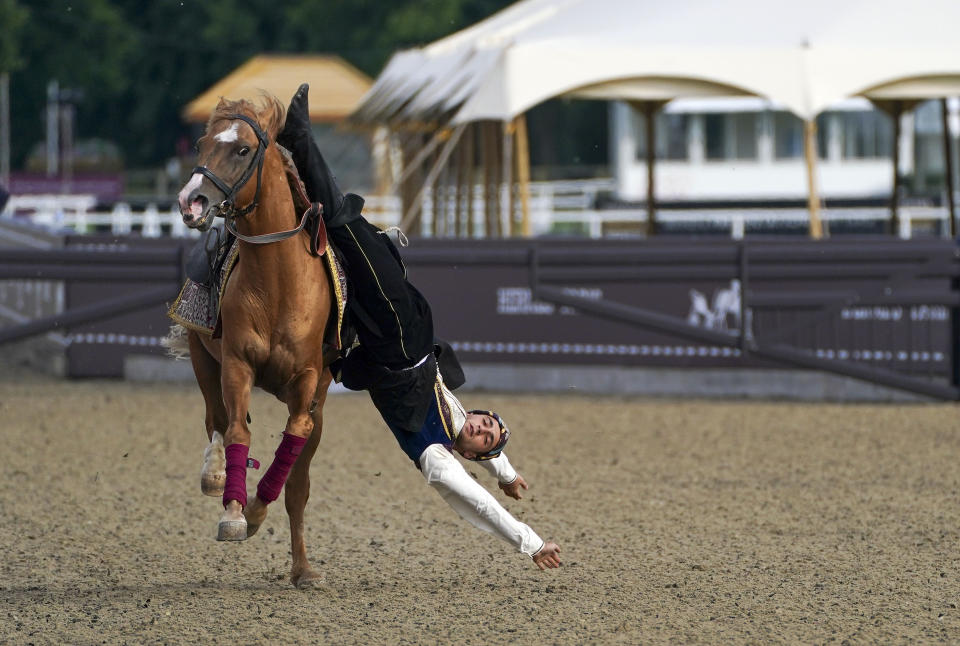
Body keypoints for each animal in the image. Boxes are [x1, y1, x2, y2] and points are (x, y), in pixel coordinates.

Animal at [171, 95, 340, 588]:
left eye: (243, 150)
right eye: (202, 143)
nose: (191, 200)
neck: (278, 285)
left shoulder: (308, 383)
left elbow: (294, 446)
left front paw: (258, 509)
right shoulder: (236, 363)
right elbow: (237, 430)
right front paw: (234, 513)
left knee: (298, 478)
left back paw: (302, 568)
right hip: (201, 357)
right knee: (216, 419)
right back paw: (214, 474)